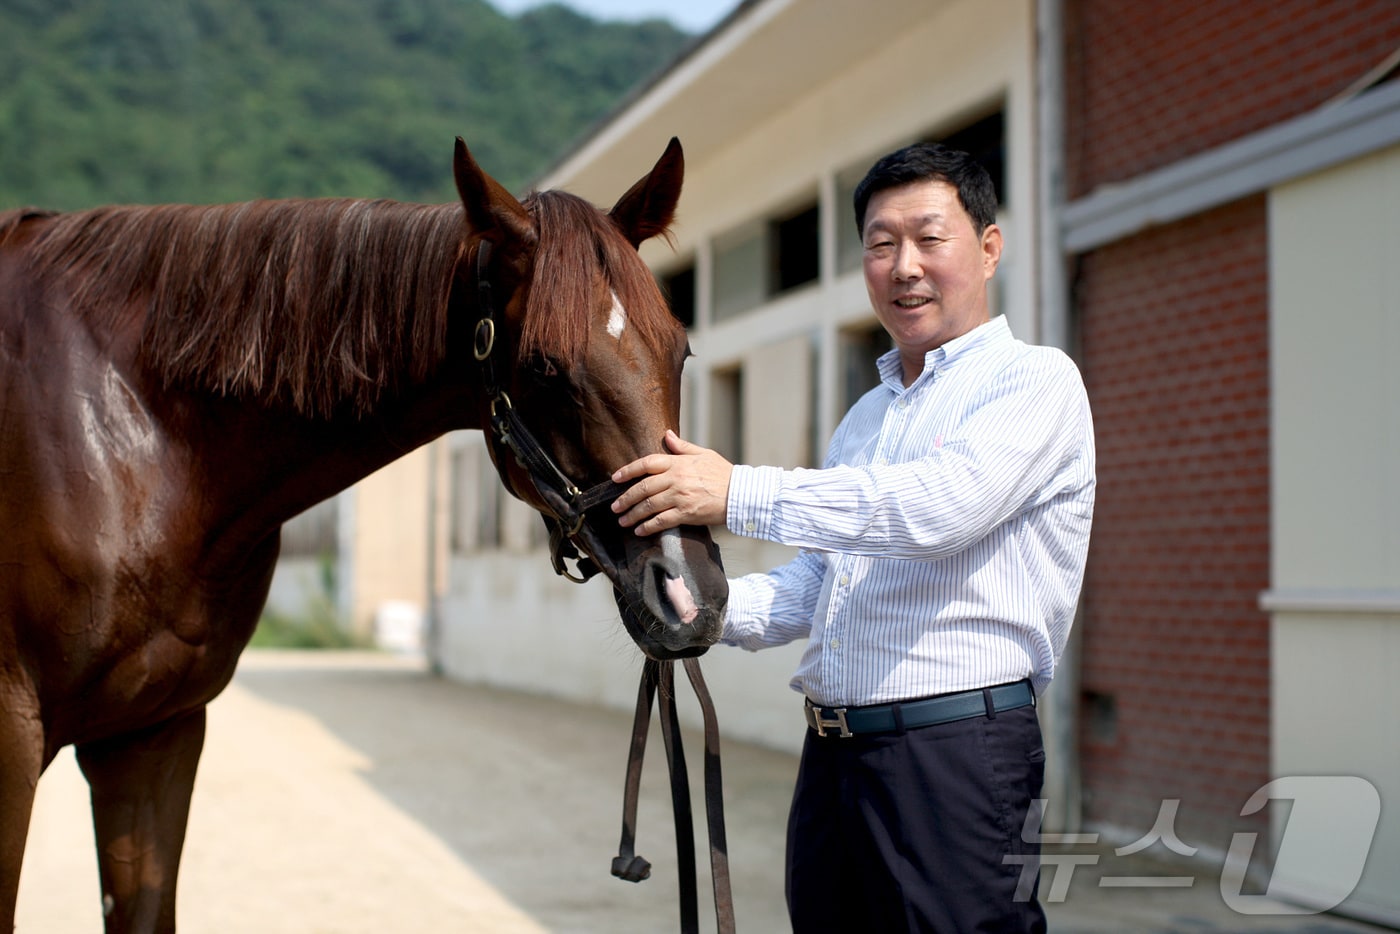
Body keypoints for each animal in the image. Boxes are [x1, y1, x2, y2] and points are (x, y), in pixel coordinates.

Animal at [0, 135, 722, 929]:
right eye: (543, 366)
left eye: (681, 351)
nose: (691, 597)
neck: (137, 439)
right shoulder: (13, 738)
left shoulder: (155, 734)